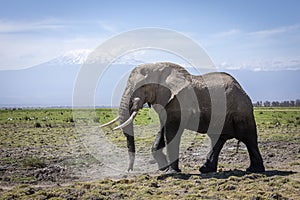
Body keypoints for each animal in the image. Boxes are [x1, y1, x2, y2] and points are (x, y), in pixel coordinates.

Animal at [101, 62, 264, 173]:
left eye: (142, 86)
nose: (129, 170)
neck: (160, 67)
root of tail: (243, 90)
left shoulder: (179, 102)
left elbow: (171, 133)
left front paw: (172, 172)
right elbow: (162, 131)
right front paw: (164, 169)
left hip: (241, 112)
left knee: (249, 138)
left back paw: (254, 170)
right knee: (218, 138)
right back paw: (205, 170)